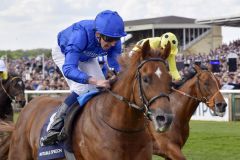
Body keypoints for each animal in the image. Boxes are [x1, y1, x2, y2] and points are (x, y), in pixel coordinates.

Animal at [7, 40, 172, 160]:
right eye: (146, 79)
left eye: (170, 80)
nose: (165, 119)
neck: (125, 130)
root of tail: (30, 105)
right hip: (19, 154)